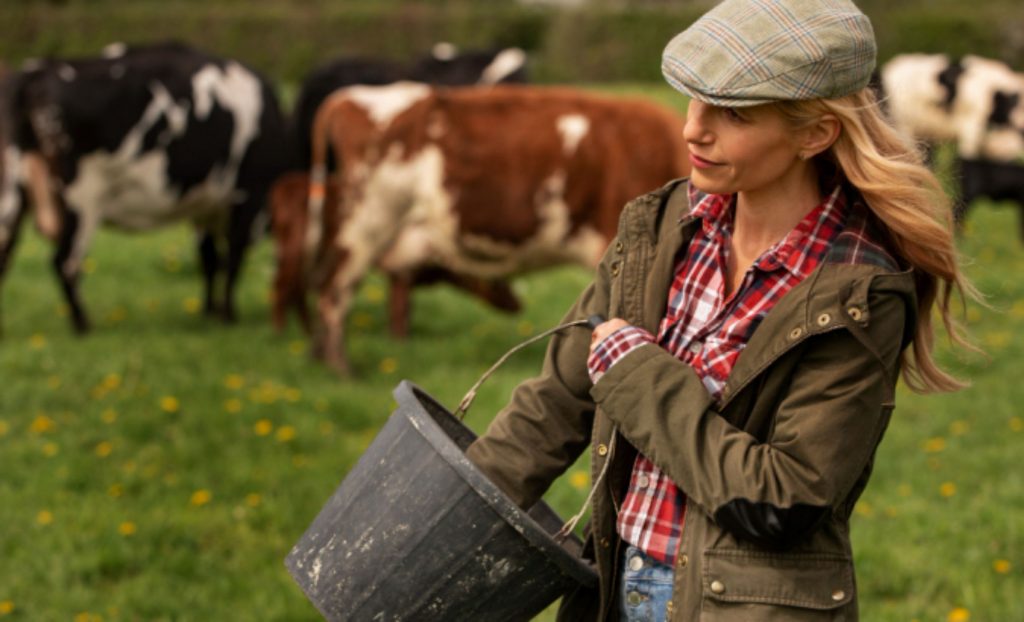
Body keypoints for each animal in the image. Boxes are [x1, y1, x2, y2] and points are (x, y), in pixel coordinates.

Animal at [4, 42, 292, 336]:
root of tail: (38, 71)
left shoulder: (204, 205)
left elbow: (209, 258)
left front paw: (208, 312)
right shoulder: (250, 195)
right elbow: (233, 258)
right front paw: (228, 315)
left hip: (15, 191)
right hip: (82, 198)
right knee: (65, 262)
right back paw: (83, 325)